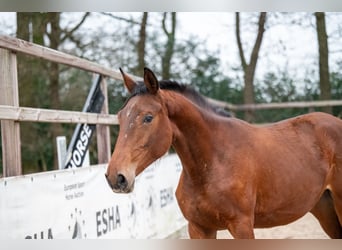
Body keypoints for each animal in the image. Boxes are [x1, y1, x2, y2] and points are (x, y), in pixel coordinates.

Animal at [105, 68, 342, 238]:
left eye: (148, 117)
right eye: (120, 117)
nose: (116, 177)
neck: (213, 163)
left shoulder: (242, 226)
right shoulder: (199, 228)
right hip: (325, 209)